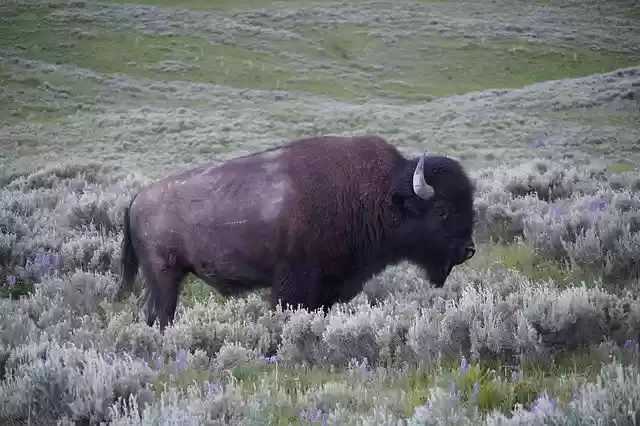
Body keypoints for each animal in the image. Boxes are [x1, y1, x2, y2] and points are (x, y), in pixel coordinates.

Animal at [117, 135, 476, 331]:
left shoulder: (329, 287)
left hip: (163, 279)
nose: (468, 250)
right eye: (442, 210)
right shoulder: (295, 282)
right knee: (162, 314)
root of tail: (137, 199)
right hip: (165, 276)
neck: (380, 193)